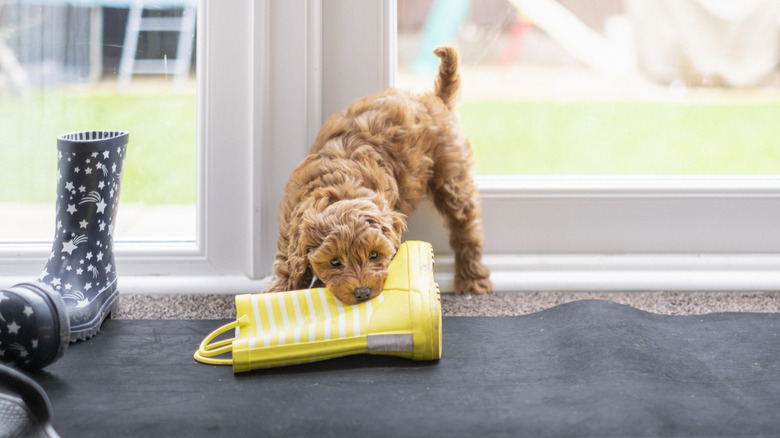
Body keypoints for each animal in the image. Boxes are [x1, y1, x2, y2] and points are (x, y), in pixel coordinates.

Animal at [266, 45, 490, 304]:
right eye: (334, 262)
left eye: (373, 255)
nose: (362, 292)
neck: (340, 187)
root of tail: (433, 98)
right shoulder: (289, 227)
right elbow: (287, 266)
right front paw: (278, 293)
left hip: (451, 175)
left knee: (466, 228)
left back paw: (472, 279)